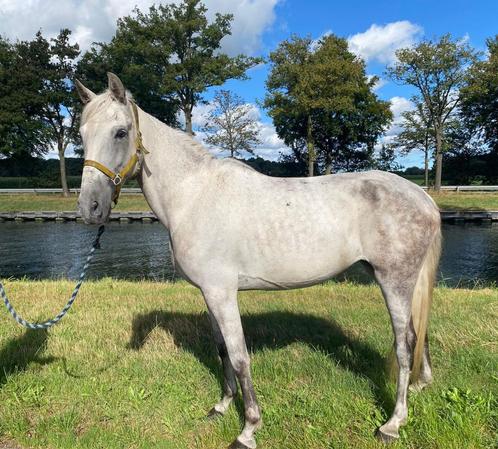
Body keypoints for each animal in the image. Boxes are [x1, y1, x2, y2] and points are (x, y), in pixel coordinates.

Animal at [75, 73, 440, 448]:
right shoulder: (209, 293)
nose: (90, 209)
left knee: (405, 344)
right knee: (419, 332)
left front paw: (248, 428)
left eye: (120, 132)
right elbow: (222, 350)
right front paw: (221, 406)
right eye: (82, 135)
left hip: (394, 281)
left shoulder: (222, 293)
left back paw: (393, 423)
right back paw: (419, 386)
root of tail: (422, 197)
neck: (194, 196)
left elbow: (239, 356)